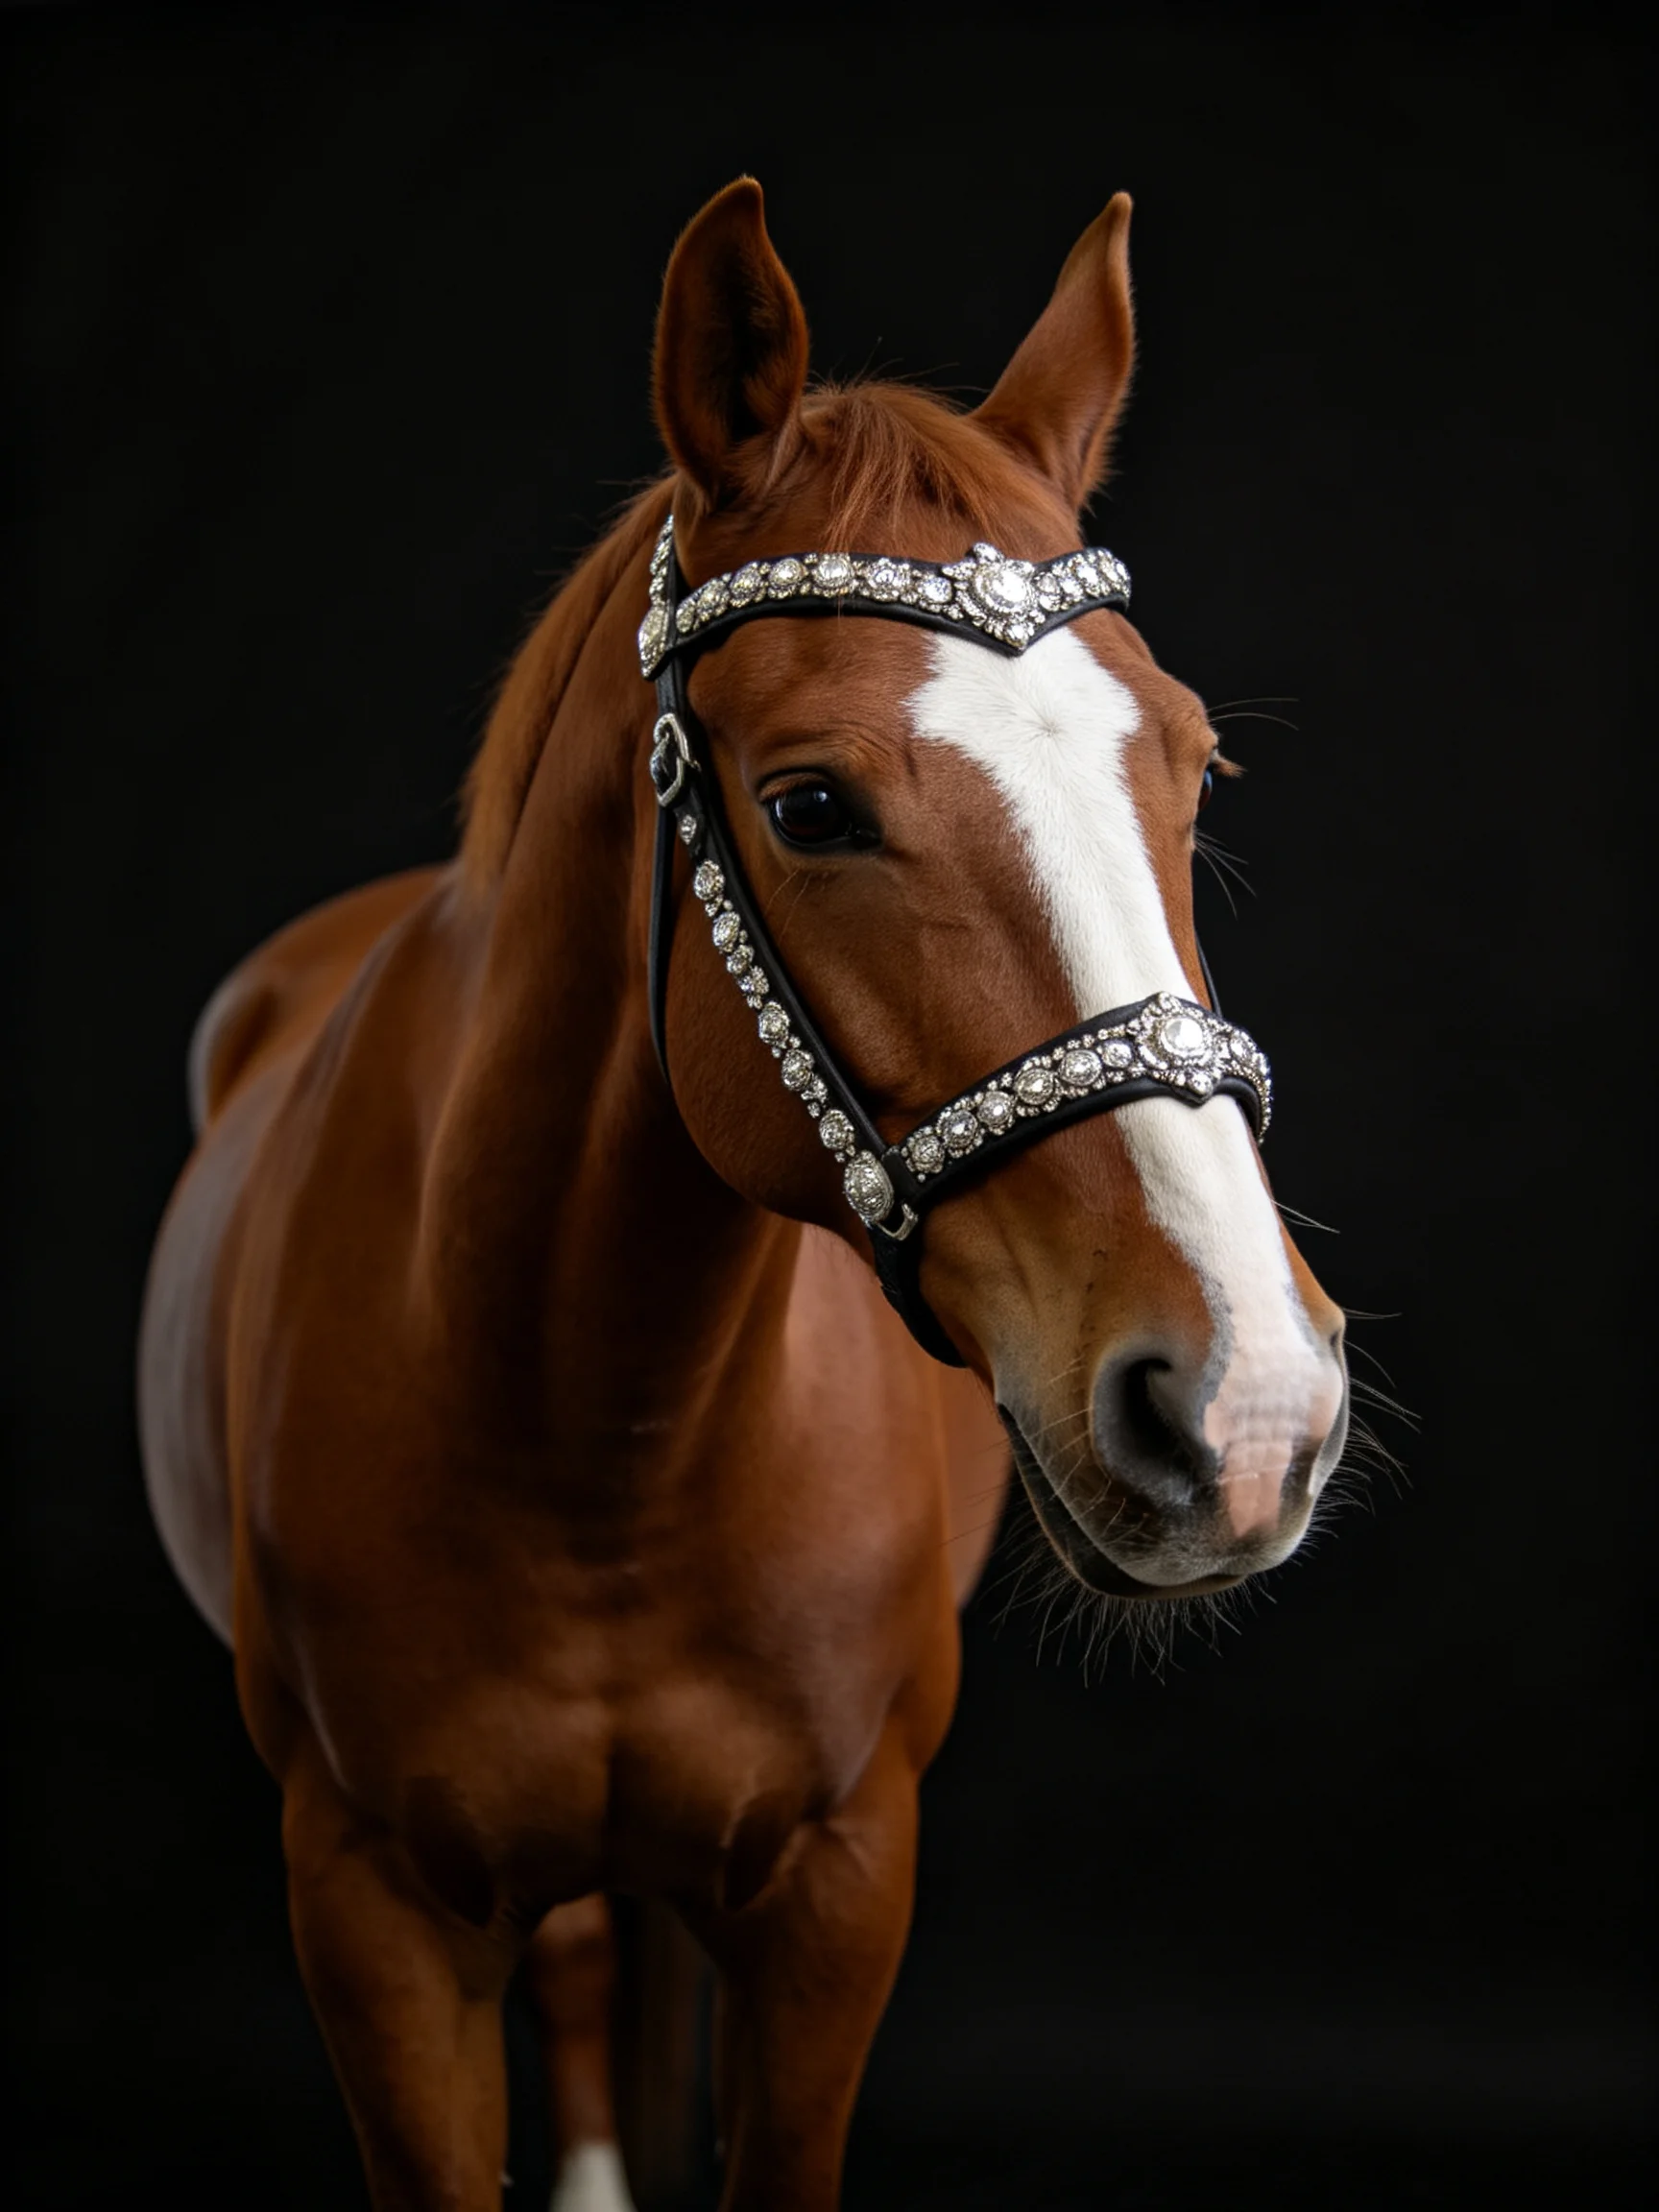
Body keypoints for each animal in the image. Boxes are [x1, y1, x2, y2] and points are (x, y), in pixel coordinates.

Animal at [137, 177, 1349, 2212]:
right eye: (807, 807)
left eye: (1195, 764)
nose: (1247, 1401)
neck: (599, 1435)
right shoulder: (373, 1915)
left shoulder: (837, 1886)